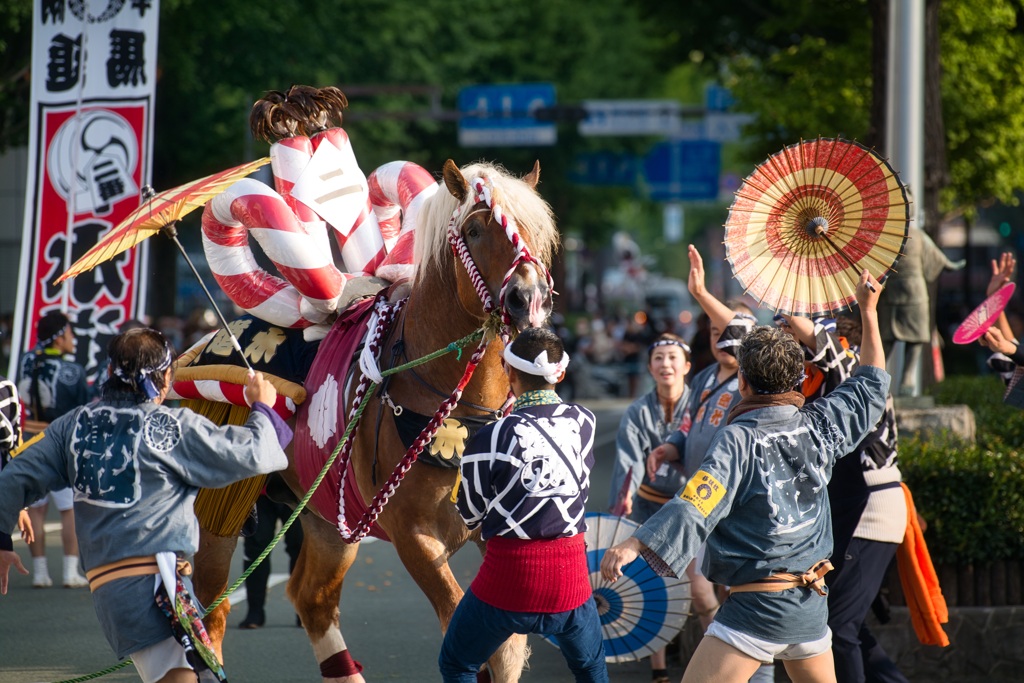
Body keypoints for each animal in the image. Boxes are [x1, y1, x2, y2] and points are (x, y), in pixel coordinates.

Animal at [186, 97, 561, 683]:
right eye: (478, 231)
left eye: (538, 233)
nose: (529, 298)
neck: (458, 406)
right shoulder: (413, 535)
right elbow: (463, 625)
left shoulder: (497, 525)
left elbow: (503, 646)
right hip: (226, 494)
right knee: (212, 605)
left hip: (325, 512)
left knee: (313, 597)